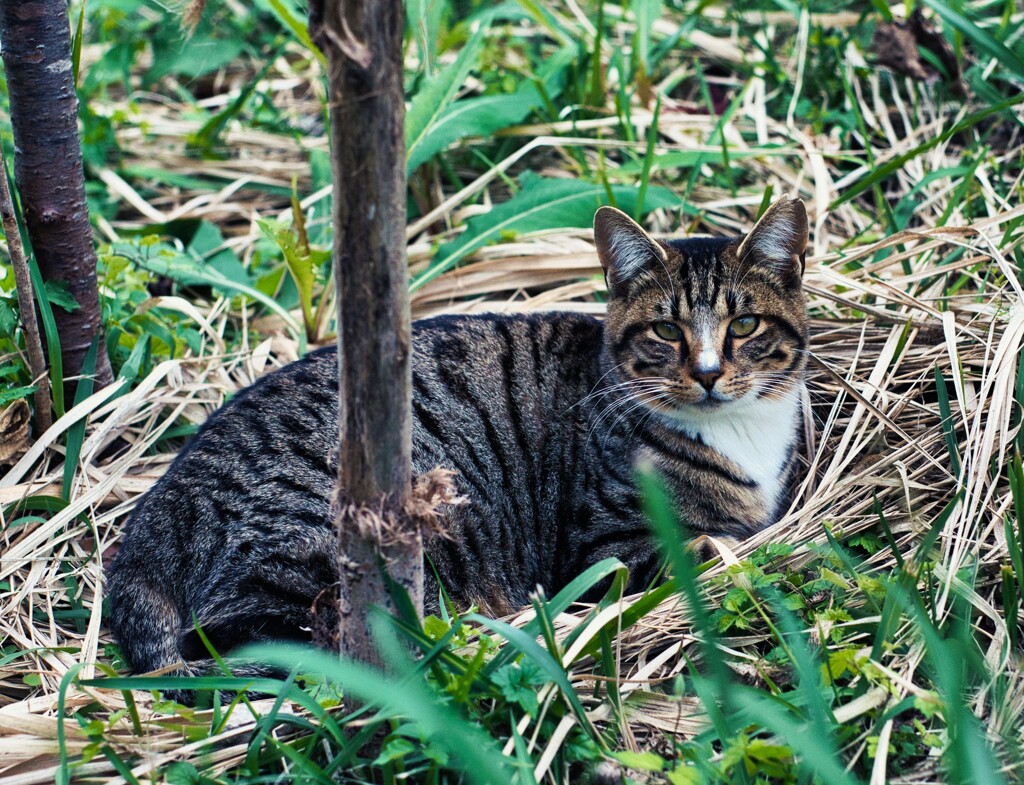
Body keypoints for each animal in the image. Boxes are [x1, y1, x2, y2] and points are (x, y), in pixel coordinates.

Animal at [103, 198, 806, 695]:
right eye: (665, 331)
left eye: (745, 325)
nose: (709, 373)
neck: (740, 434)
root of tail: (152, 517)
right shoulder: (603, 547)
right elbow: (707, 548)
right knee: (264, 642)